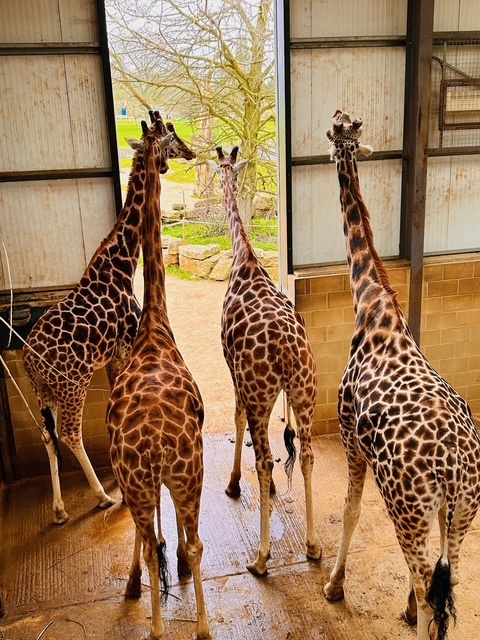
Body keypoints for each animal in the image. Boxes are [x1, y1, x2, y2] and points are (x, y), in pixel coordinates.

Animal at [23, 111, 196, 524]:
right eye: (173, 138)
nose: (191, 153)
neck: (121, 261)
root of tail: (27, 358)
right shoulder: (122, 348)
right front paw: (117, 482)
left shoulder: (114, 356)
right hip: (73, 384)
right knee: (70, 433)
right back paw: (102, 496)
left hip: (43, 390)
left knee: (48, 436)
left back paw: (59, 509)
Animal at [209, 146, 321, 576]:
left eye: (223, 170)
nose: (223, 178)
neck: (245, 258)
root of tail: (288, 350)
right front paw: (270, 493)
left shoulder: (234, 370)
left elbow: (237, 418)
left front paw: (233, 484)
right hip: (305, 390)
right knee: (306, 456)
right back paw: (313, 545)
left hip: (264, 389)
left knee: (266, 461)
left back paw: (260, 558)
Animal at [323, 109, 480, 640]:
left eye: (337, 129)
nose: (336, 119)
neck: (372, 303)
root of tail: (454, 468)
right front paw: (406, 606)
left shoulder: (350, 438)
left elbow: (348, 510)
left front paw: (334, 586)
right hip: (460, 513)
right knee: (445, 576)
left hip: (409, 508)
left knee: (431, 590)